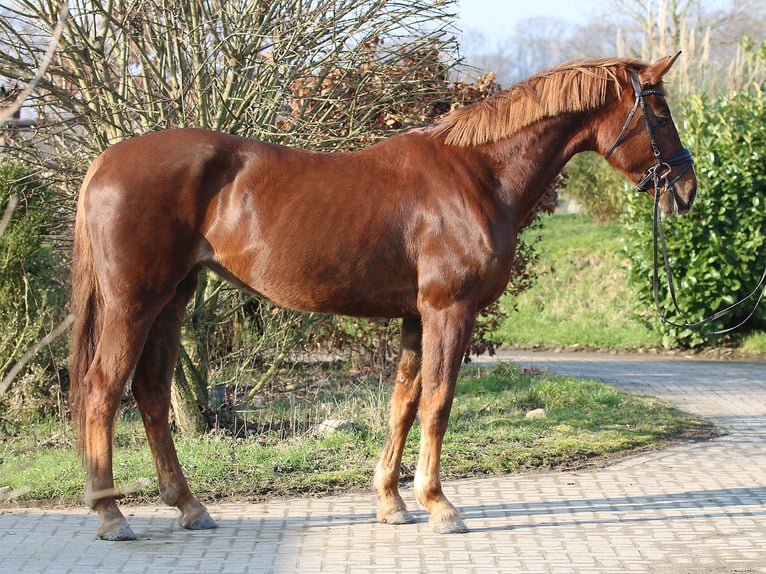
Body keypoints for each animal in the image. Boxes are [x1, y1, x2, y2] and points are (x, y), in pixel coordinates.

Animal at [70, 54, 696, 540]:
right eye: (660, 111)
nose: (686, 189)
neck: (478, 173)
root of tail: (105, 161)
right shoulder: (449, 310)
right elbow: (439, 402)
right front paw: (439, 506)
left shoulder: (417, 318)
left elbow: (404, 402)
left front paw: (391, 503)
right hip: (134, 303)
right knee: (103, 389)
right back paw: (111, 514)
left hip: (171, 301)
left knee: (152, 394)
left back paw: (188, 505)